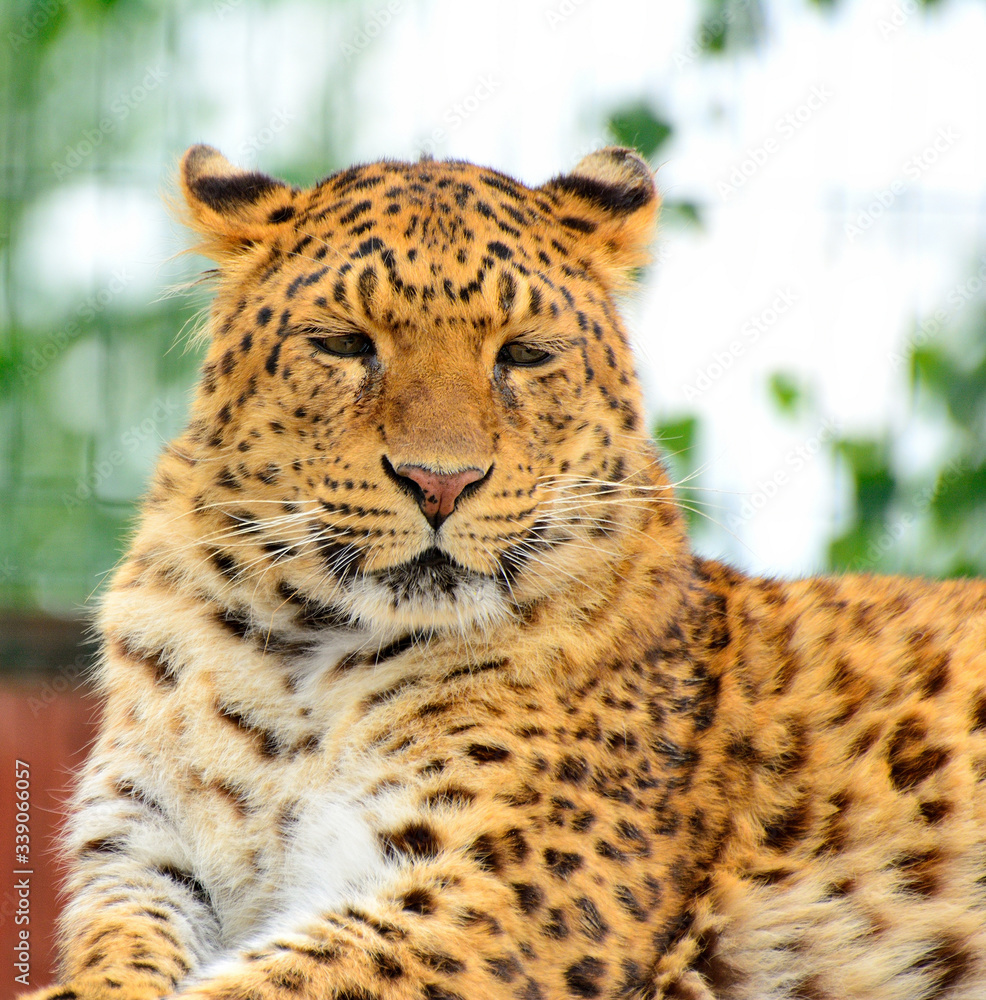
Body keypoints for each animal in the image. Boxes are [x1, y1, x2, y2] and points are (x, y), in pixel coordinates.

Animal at [22, 143, 986, 1000]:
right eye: (344, 344)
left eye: (523, 353)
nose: (439, 482)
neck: (304, 659)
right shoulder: (145, 859)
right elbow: (113, 964)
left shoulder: (494, 898)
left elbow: (272, 983)